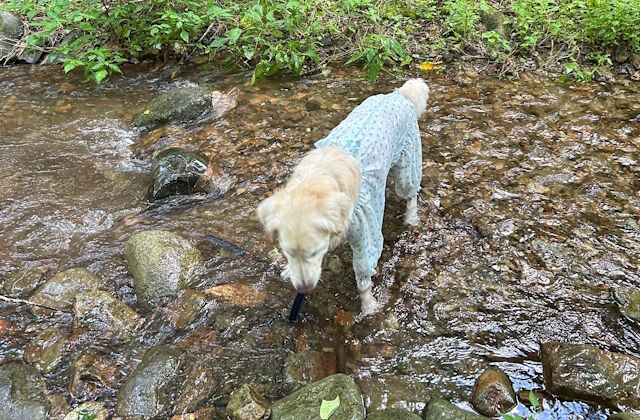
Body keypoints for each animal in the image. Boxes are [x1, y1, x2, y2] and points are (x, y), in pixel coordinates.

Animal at [257, 79, 429, 315]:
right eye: (288, 252)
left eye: (314, 253)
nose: (304, 289)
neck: (318, 180)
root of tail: (398, 94)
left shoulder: (365, 231)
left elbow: (364, 277)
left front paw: (369, 306)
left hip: (407, 161)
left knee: (411, 193)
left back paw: (411, 217)